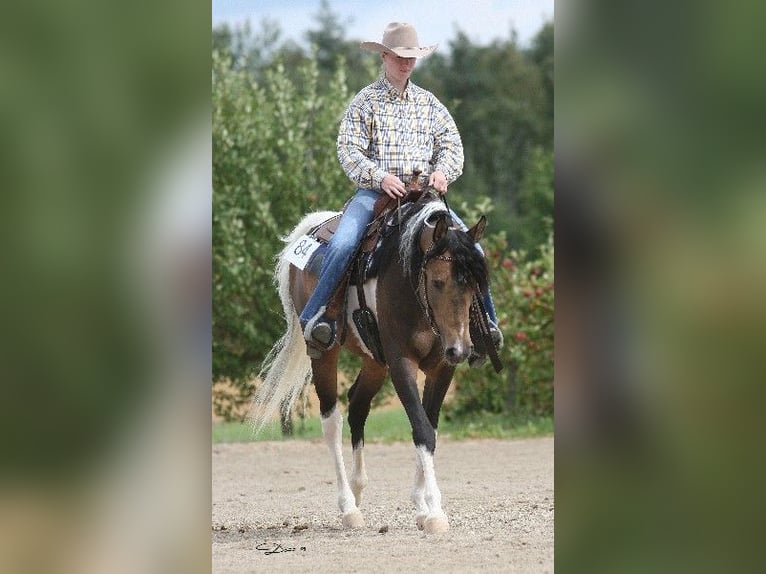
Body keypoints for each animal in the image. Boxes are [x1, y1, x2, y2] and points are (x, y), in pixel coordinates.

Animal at [251, 191, 489, 534]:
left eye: (476, 283)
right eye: (437, 281)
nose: (460, 349)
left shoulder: (442, 369)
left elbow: (429, 427)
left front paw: (422, 506)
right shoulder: (401, 363)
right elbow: (422, 429)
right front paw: (434, 510)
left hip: (375, 363)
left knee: (357, 407)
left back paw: (359, 488)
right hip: (325, 354)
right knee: (332, 422)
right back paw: (348, 507)